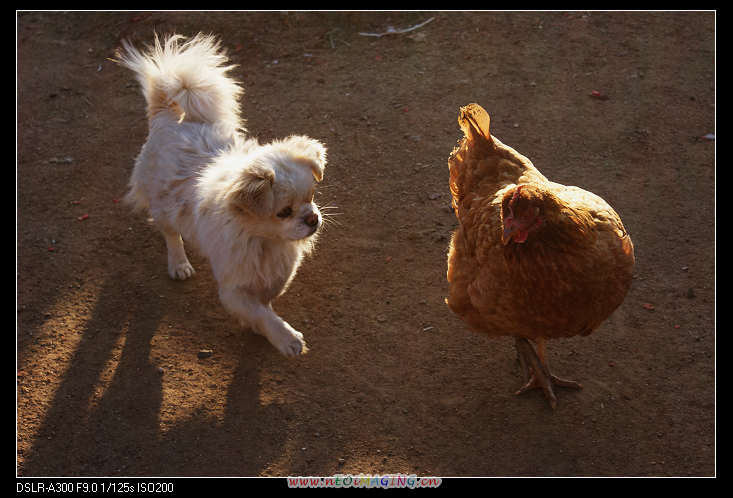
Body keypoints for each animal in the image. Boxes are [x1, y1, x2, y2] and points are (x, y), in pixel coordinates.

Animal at [116, 33, 328, 356]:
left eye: (312, 197)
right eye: (283, 212)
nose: (312, 218)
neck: (265, 241)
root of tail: (166, 116)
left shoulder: (275, 272)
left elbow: (266, 299)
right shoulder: (233, 288)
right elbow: (259, 312)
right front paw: (285, 338)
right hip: (164, 209)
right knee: (171, 236)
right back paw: (179, 265)